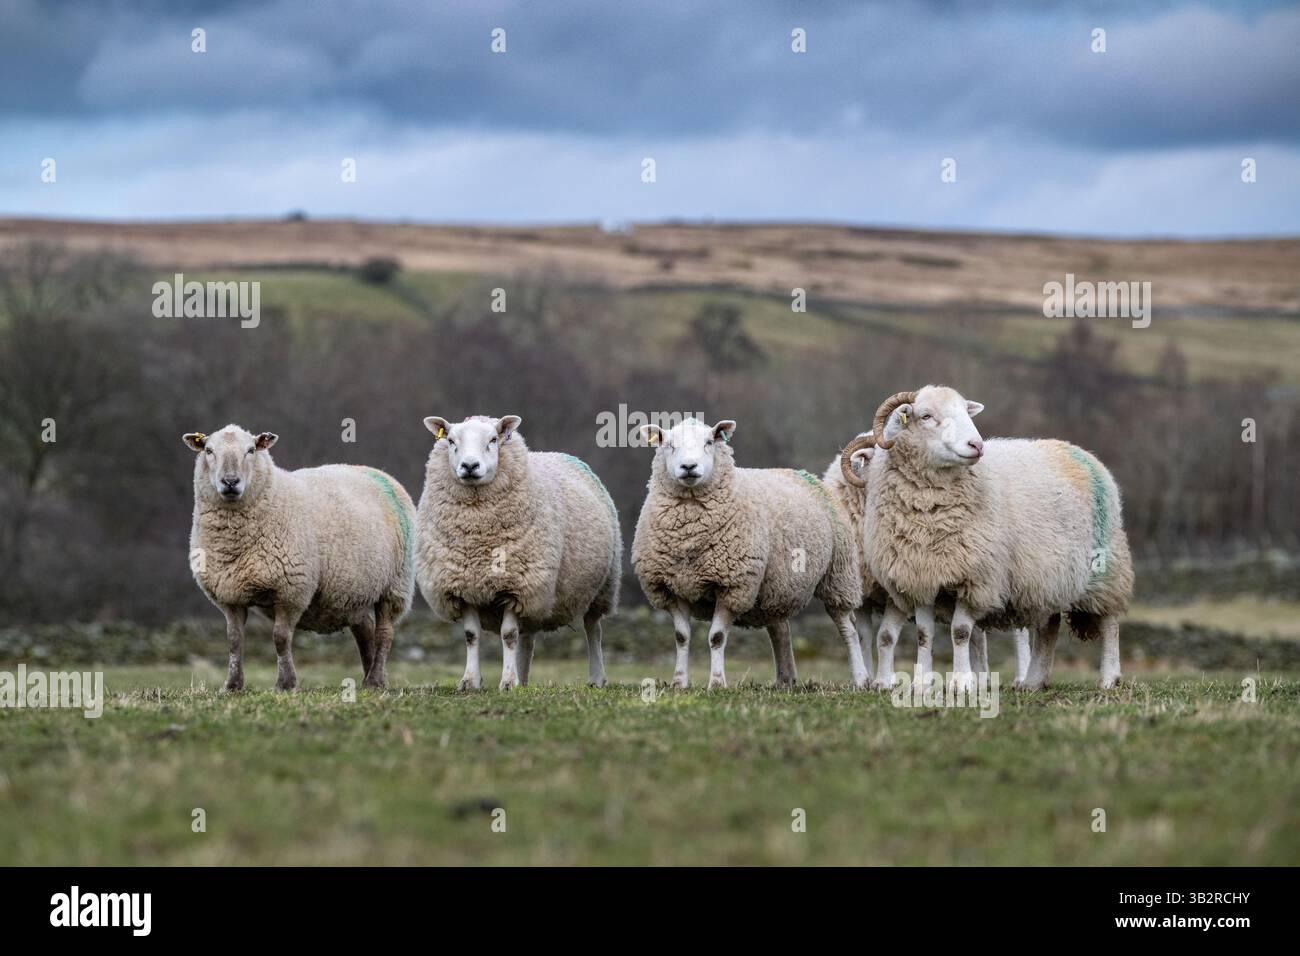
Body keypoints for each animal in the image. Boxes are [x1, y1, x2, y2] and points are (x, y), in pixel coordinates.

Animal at [182, 424, 416, 692]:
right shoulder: (228, 594)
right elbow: (234, 640)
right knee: (365, 630)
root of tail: (379, 472)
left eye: (251, 450)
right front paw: (232, 685)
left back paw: (376, 679)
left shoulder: (291, 589)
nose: (230, 482)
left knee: (384, 633)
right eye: (209, 450)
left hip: (395, 585)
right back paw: (368, 678)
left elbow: (280, 638)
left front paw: (286, 683)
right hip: (355, 591)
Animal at [414, 414, 621, 690]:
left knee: (593, 630)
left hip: (601, 587)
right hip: (536, 597)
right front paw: (471, 681)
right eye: (450, 441)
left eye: (493, 439)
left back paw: (596, 677)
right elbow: (471, 636)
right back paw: (522, 678)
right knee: (528, 637)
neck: (477, 534)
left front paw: (508, 681)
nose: (469, 466)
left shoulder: (517, 584)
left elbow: (508, 635)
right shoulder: (462, 587)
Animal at [631, 418, 867, 689]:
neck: (690, 532)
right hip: (778, 584)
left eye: (709, 442)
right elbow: (681, 637)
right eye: (668, 444)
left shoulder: (733, 585)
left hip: (838, 575)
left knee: (848, 629)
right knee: (780, 629)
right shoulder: (670, 588)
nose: (688, 466)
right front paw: (679, 683)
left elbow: (716, 637)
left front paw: (716, 683)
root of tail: (801, 473)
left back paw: (861, 679)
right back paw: (785, 680)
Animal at [829, 434, 1031, 689]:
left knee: (1019, 629)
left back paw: (1021, 678)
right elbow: (864, 636)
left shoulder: (899, 593)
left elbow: (886, 635)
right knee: (976, 633)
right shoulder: (865, 594)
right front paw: (867, 680)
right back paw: (980, 677)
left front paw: (885, 681)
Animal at [853, 386, 1133, 691]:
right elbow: (924, 635)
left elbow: (960, 632)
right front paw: (921, 684)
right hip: (1047, 577)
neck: (929, 517)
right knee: (1049, 625)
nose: (976, 445)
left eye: (966, 412)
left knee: (1109, 622)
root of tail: (1079, 450)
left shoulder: (977, 578)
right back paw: (1033, 681)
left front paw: (961, 682)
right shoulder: (921, 578)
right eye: (926, 416)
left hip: (1106, 570)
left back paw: (1108, 678)